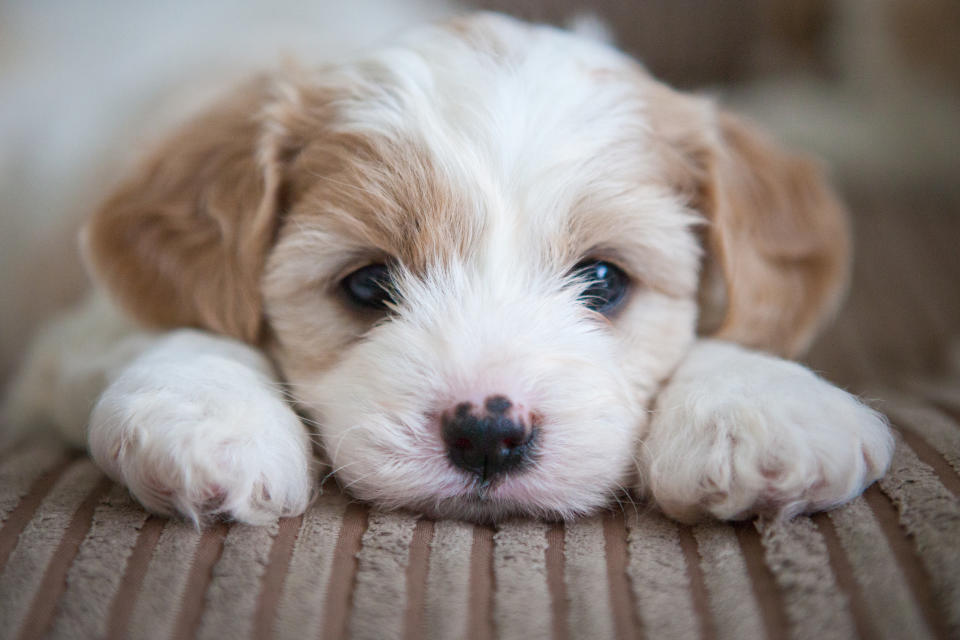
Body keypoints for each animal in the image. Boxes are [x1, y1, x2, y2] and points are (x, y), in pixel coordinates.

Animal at [3, 13, 896, 524]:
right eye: (367, 284)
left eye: (605, 282)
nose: (488, 433)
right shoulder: (70, 335)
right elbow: (178, 326)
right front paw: (211, 417)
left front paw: (759, 406)